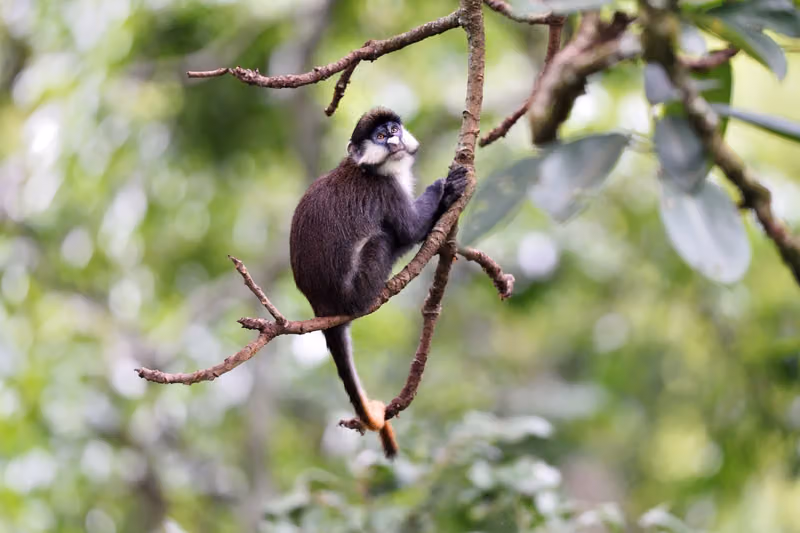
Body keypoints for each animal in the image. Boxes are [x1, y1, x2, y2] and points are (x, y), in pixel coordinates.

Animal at [289, 107, 467, 459]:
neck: (371, 168)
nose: (394, 140)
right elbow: (411, 229)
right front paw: (445, 189)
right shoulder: (386, 191)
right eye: (380, 137)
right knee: (385, 238)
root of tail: (321, 306)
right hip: (359, 287)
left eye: (394, 129)